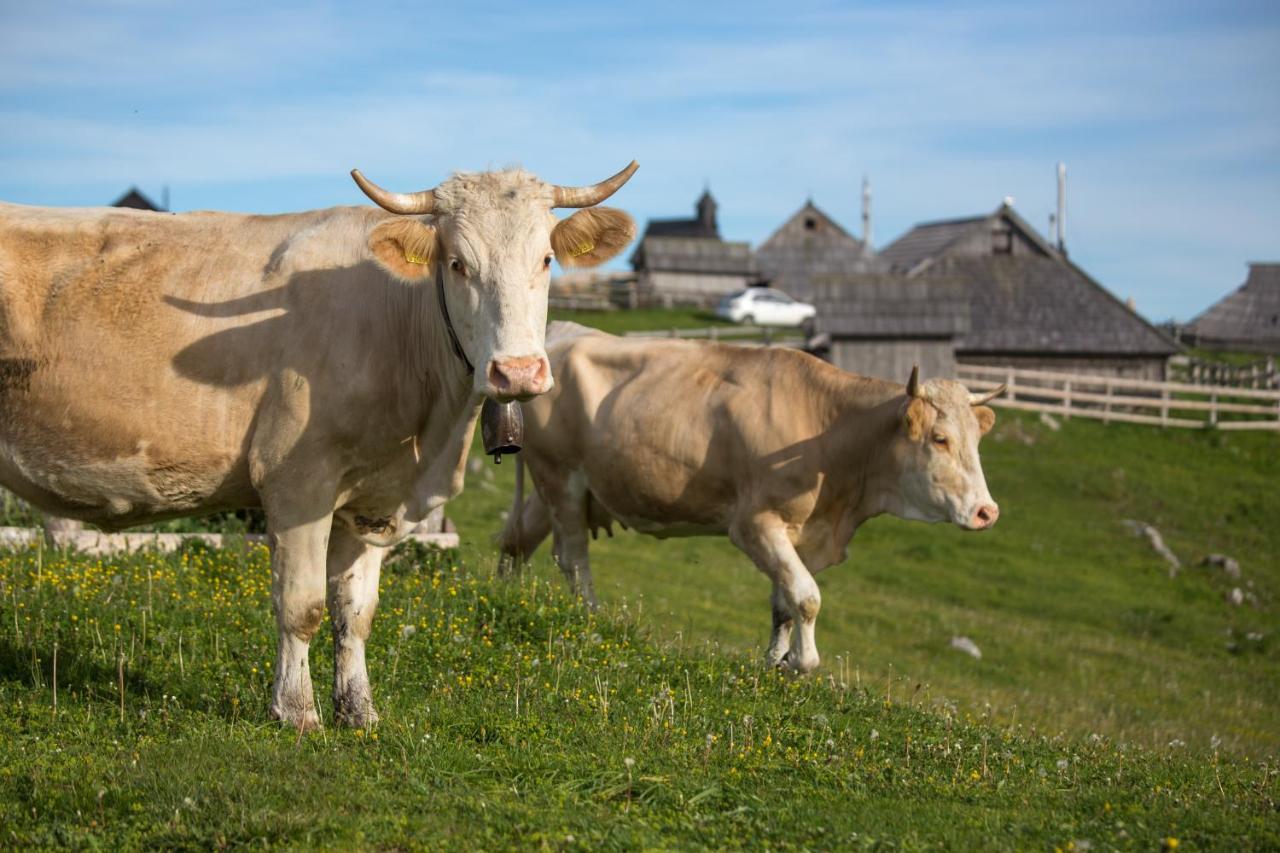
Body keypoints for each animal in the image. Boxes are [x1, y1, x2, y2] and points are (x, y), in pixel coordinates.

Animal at [0, 163, 640, 722]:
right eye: (457, 263)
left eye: (547, 258)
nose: (518, 373)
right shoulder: (296, 482)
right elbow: (301, 605)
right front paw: (296, 710)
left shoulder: (375, 500)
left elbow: (354, 612)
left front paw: (358, 710)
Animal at [496, 322, 998, 676]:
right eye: (939, 438)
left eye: (976, 440)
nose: (986, 512)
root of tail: (564, 334)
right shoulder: (755, 523)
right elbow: (807, 597)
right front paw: (801, 664)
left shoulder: (801, 534)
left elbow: (785, 603)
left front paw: (776, 660)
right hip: (562, 478)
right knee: (573, 557)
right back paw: (594, 618)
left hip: (557, 488)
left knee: (516, 538)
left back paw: (507, 594)